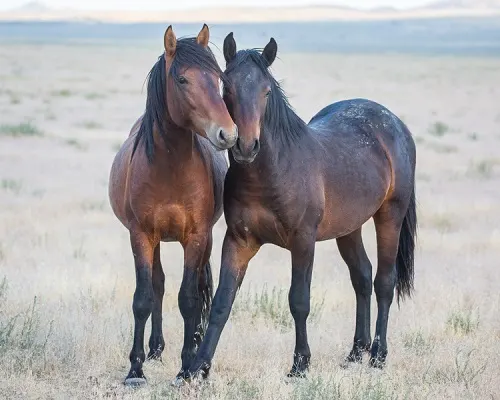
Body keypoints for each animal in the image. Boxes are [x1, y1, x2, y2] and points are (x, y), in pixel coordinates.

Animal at [108, 24, 237, 384]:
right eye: (182, 79)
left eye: (218, 78)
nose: (228, 133)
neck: (169, 167)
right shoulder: (140, 235)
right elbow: (144, 297)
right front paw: (135, 369)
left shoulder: (196, 237)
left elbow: (189, 299)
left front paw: (187, 365)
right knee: (158, 285)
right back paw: (155, 349)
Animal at [185, 33, 418, 378]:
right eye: (227, 88)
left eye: (267, 91)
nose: (246, 146)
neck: (273, 172)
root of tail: (394, 124)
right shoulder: (239, 241)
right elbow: (222, 302)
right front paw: (197, 369)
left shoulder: (303, 241)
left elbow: (299, 301)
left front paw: (300, 364)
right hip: (349, 228)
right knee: (362, 277)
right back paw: (356, 352)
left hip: (390, 215)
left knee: (384, 283)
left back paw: (378, 355)